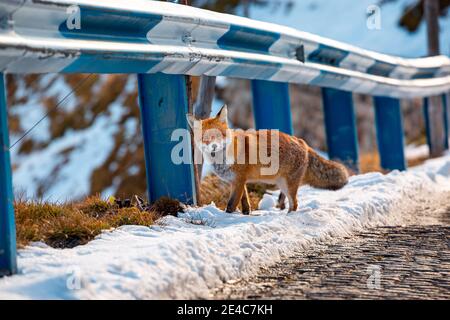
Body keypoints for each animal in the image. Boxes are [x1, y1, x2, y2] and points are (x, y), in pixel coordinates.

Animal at [186, 105, 348, 215]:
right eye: (204, 138)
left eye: (218, 135)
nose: (213, 146)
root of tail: (302, 141)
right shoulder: (238, 181)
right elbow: (245, 202)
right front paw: (246, 214)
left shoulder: (238, 180)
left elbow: (231, 205)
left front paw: (228, 217)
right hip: (282, 184)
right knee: (293, 203)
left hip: (287, 185)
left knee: (295, 204)